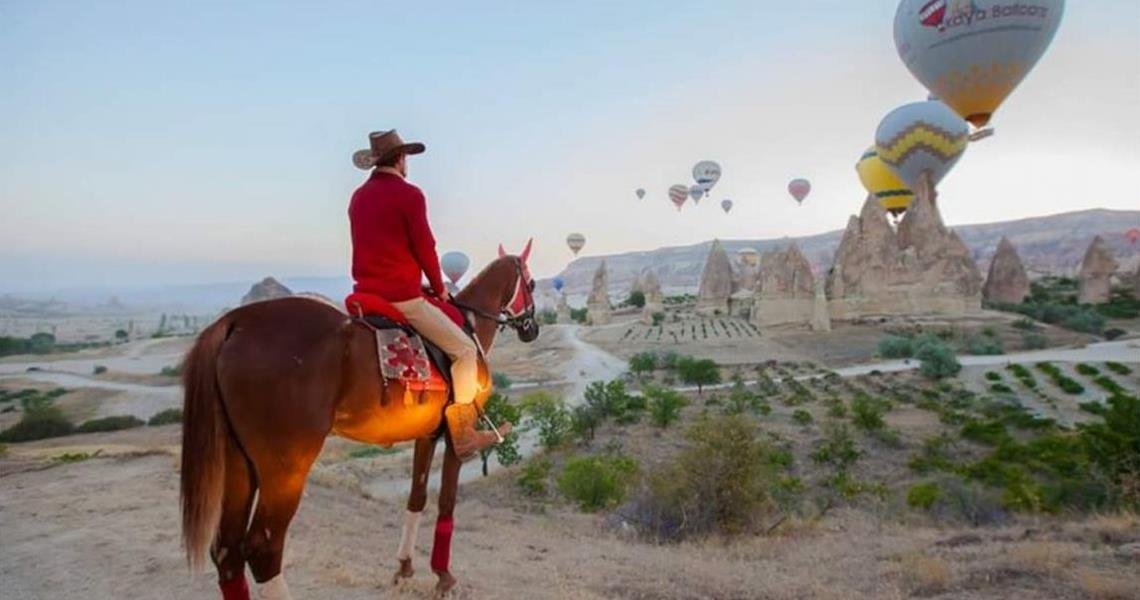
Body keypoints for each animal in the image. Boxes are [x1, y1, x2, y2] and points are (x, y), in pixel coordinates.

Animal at [180, 246, 540, 600]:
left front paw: (404, 567)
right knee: (263, 547)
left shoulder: (426, 435)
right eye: (532, 284)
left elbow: (417, 497)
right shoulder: (455, 439)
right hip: (285, 469)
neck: (470, 322)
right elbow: (446, 503)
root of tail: (235, 322)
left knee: (226, 551)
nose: (531, 328)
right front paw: (443, 577)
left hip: (237, 462)